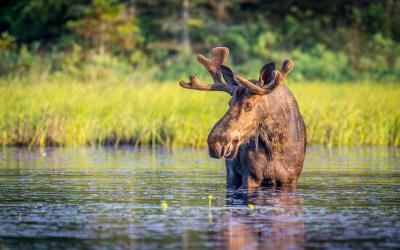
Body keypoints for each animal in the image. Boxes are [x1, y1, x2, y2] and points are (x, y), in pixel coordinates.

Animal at [179, 47, 306, 188]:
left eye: (248, 105)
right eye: (229, 103)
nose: (214, 143)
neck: (274, 143)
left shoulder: (290, 179)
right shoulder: (250, 176)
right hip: (231, 173)